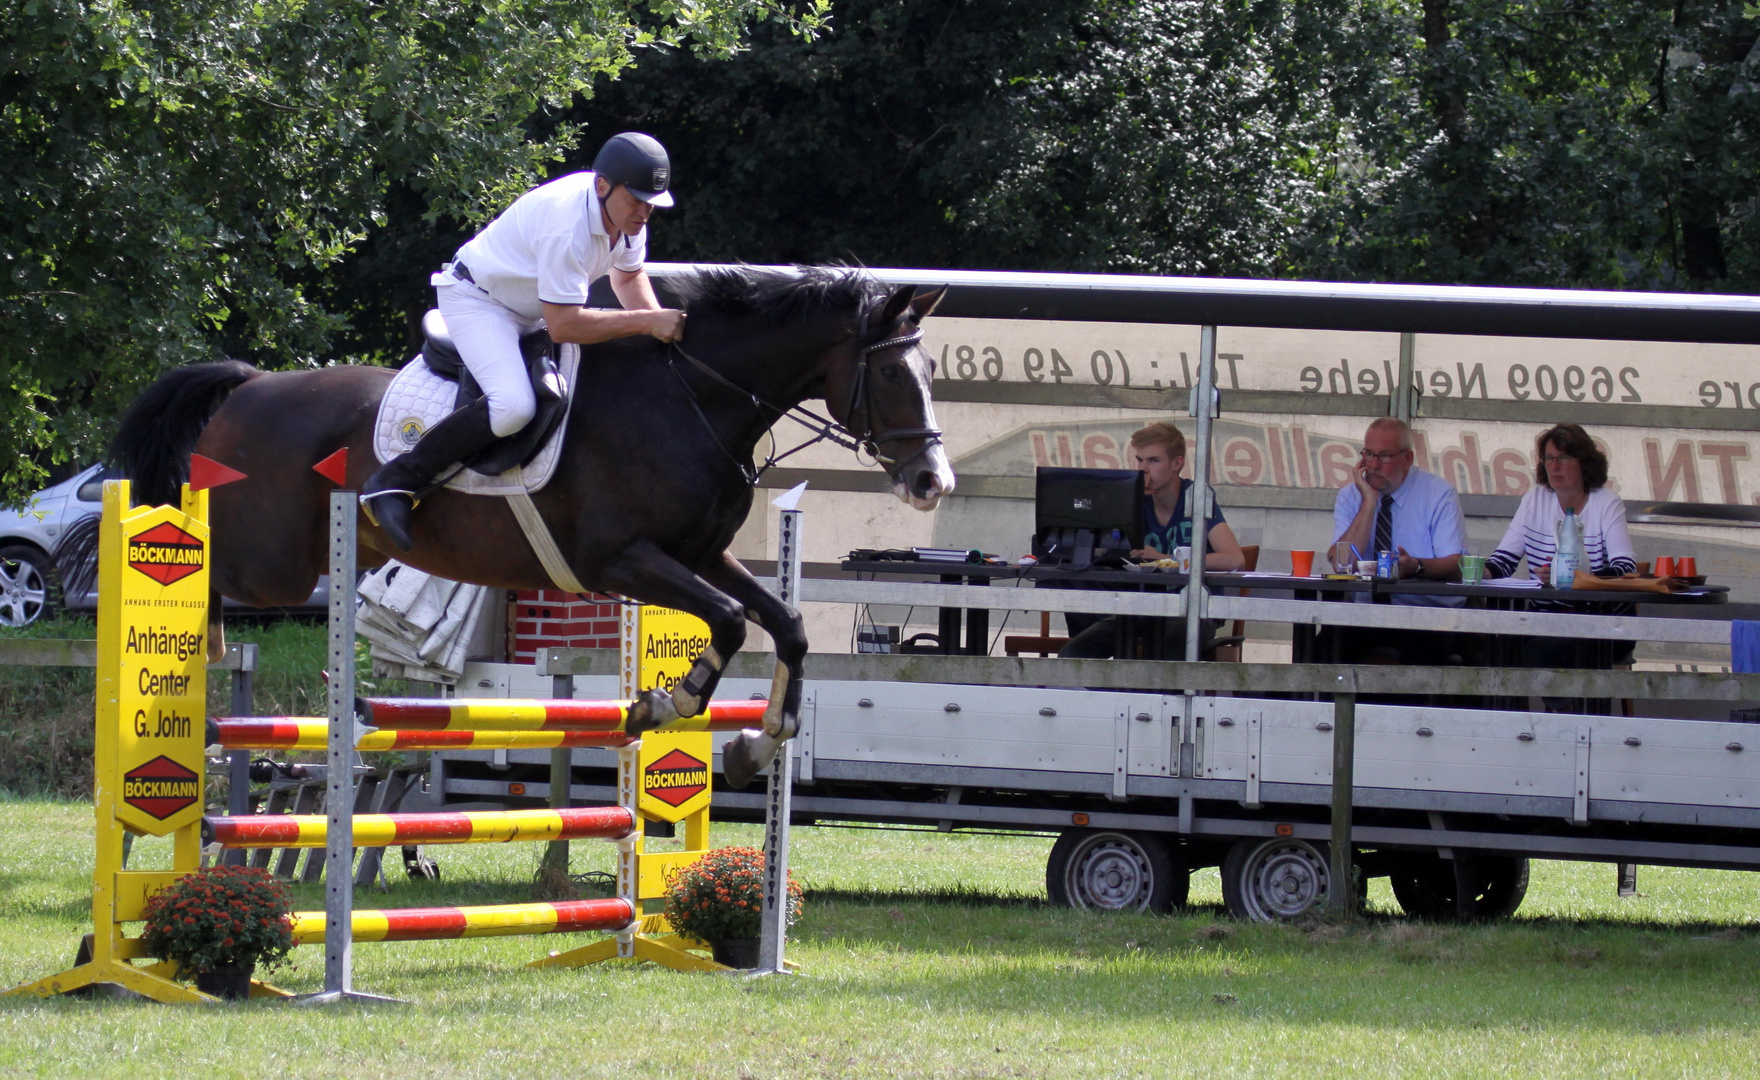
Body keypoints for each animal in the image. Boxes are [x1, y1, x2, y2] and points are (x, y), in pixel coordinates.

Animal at [115, 265, 957, 784]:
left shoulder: (701, 554)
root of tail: (249, 386)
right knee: (203, 557)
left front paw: (757, 743)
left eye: (927, 371)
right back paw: (199, 639)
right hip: (276, 564)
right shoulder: (619, 560)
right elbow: (725, 621)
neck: (691, 398)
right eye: (892, 373)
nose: (931, 482)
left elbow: (784, 623)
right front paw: (666, 704)